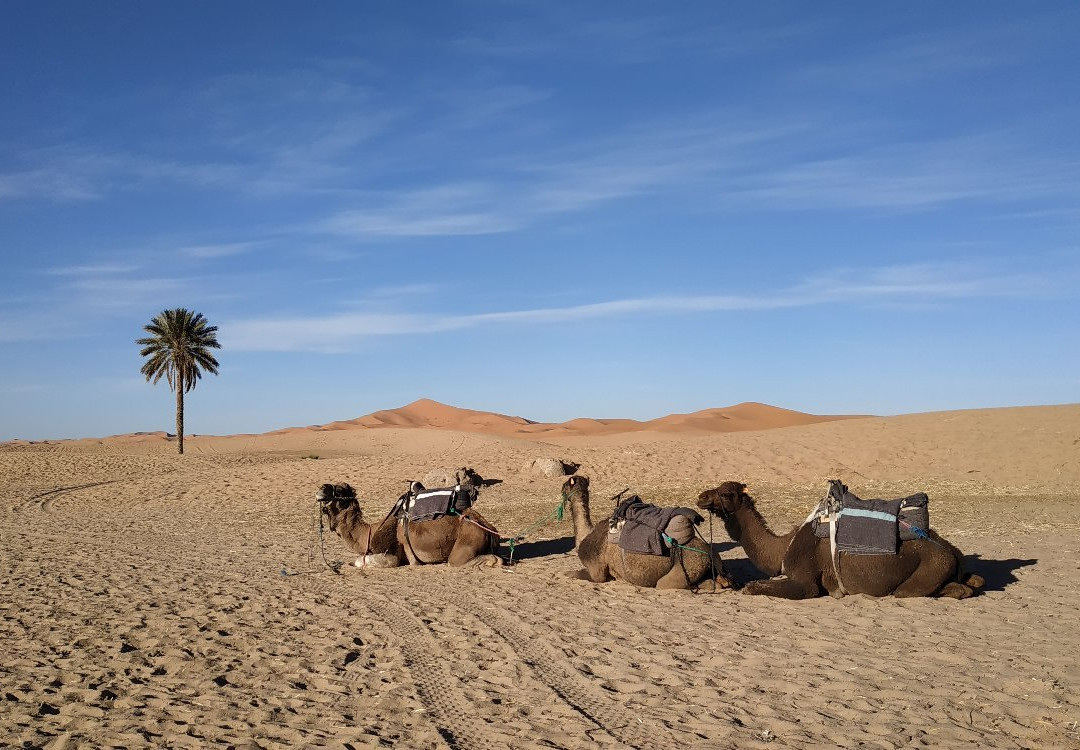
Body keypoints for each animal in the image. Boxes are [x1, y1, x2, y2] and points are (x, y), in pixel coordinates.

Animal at [561, 475, 730, 592]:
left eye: (565, 485)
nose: (561, 489)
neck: (586, 536)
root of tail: (709, 552)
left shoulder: (596, 572)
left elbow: (573, 574)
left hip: (687, 566)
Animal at [695, 484, 984, 600]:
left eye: (726, 493)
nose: (701, 497)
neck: (783, 547)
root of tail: (953, 552)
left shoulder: (806, 581)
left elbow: (753, 587)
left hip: (930, 567)